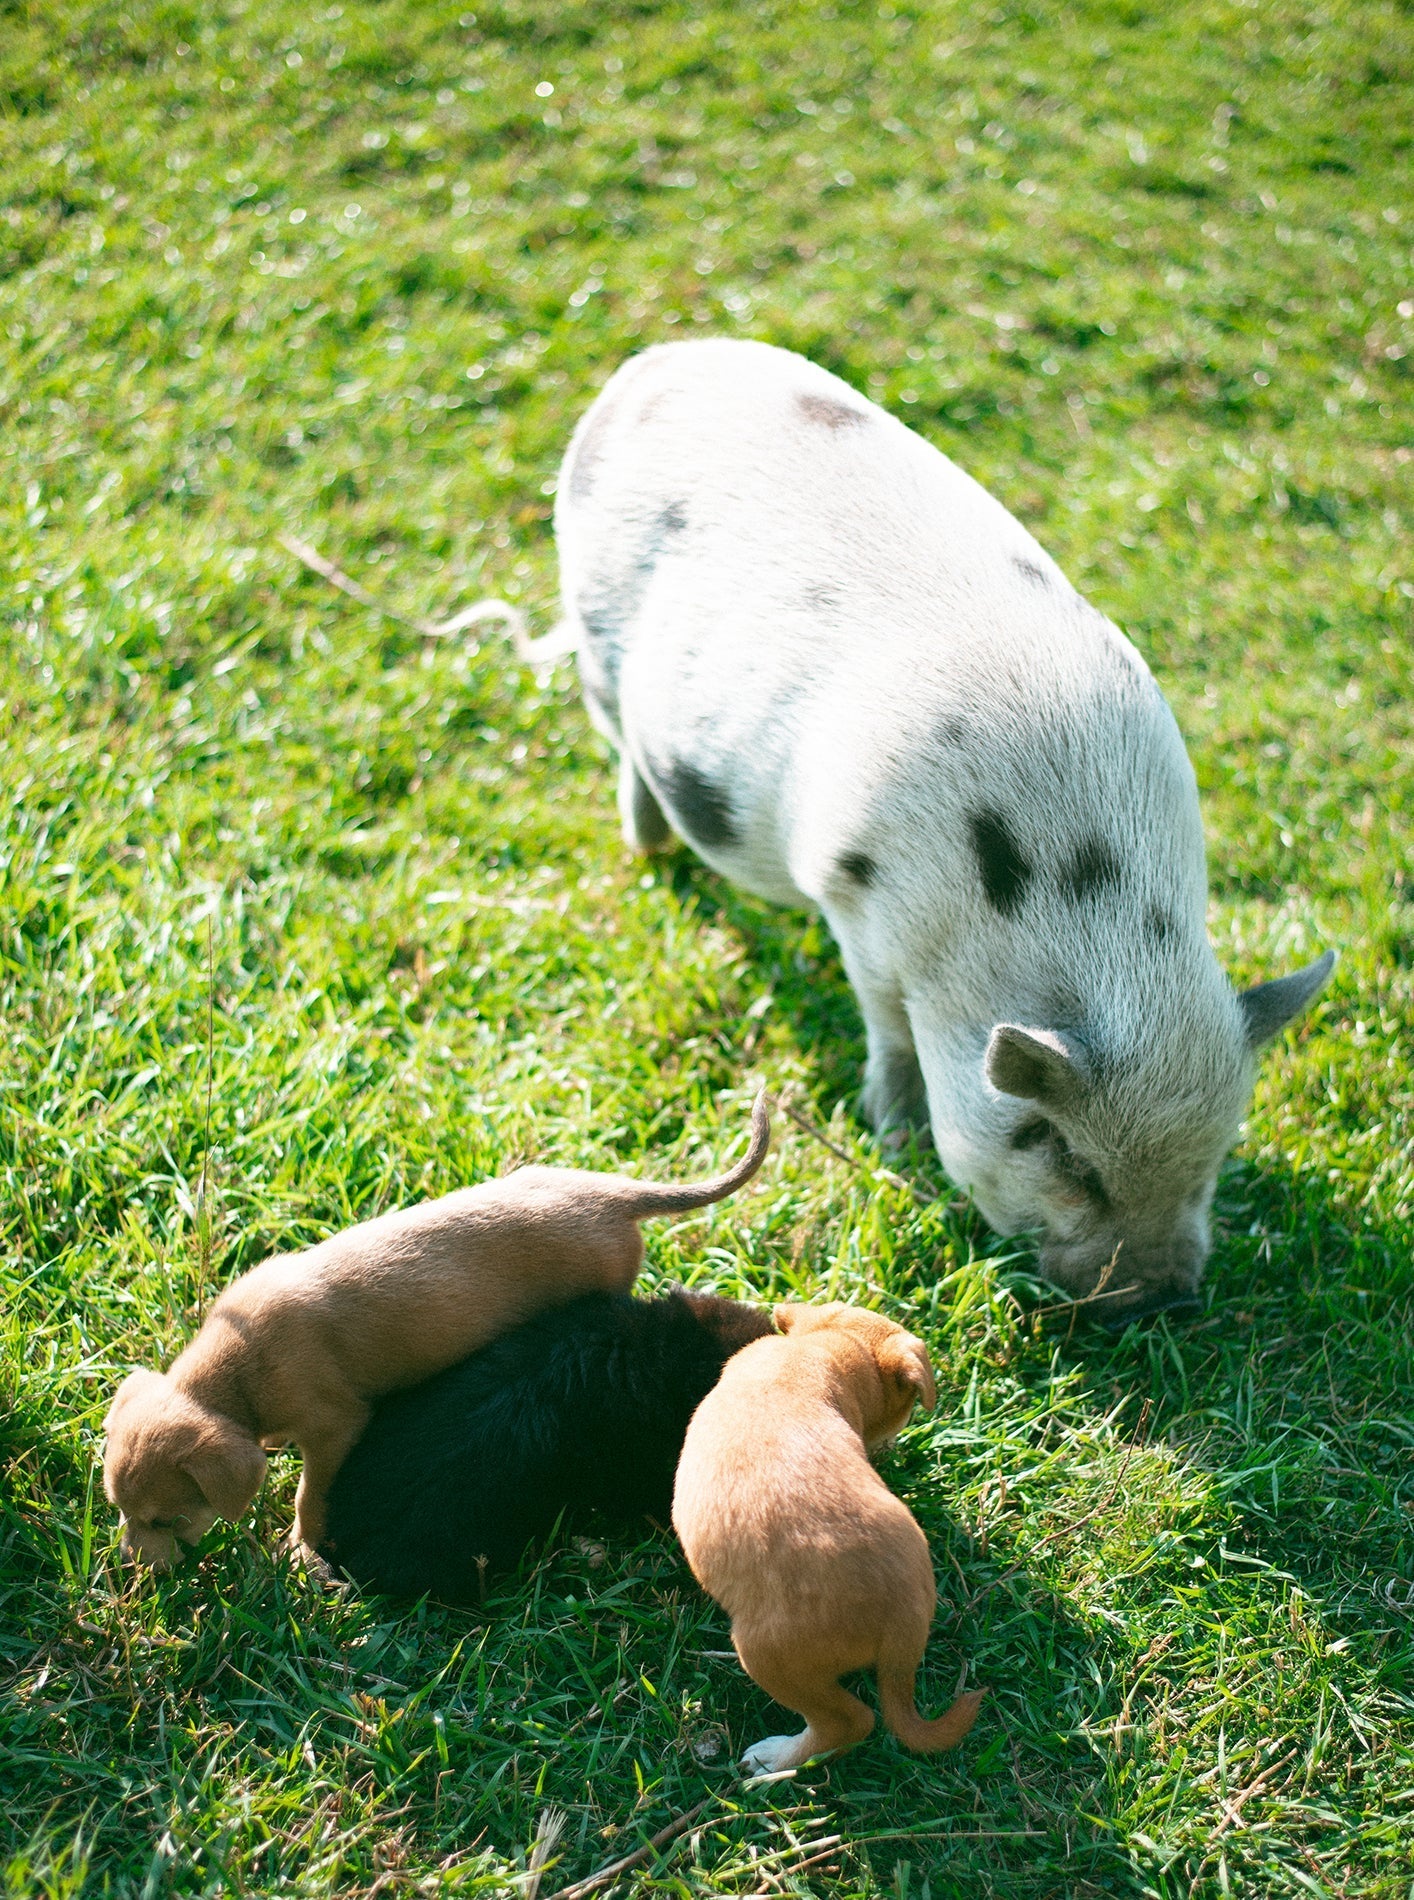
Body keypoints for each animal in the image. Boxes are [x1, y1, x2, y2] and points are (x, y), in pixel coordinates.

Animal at [552, 339, 1333, 1325]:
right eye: (1066, 1154)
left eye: (1221, 1151)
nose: (1158, 1296)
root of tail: (653, 363)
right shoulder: (854, 904)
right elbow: (886, 1028)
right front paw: (892, 1135)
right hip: (593, 640)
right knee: (623, 747)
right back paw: (648, 846)